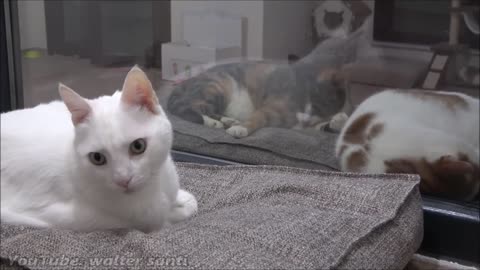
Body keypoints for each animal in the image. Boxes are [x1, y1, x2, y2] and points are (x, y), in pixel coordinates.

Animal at [0, 66, 197, 232]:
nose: (123, 180)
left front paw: (182, 199)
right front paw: (177, 211)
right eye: (97, 158)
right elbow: (159, 220)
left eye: (138, 146)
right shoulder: (69, 215)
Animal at [167, 61, 350, 137]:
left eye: (331, 101)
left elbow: (325, 126)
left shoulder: (310, 125)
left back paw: (228, 120)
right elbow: (257, 119)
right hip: (219, 87)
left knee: (208, 109)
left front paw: (339, 120)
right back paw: (215, 123)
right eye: (316, 96)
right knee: (191, 106)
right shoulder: (271, 109)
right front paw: (240, 129)